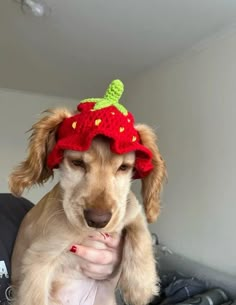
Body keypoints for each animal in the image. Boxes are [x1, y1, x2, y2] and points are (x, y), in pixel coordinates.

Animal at [7, 80, 166, 304]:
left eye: (124, 167)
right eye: (77, 163)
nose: (98, 220)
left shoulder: (130, 208)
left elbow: (140, 230)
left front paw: (141, 285)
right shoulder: (37, 259)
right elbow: (35, 297)